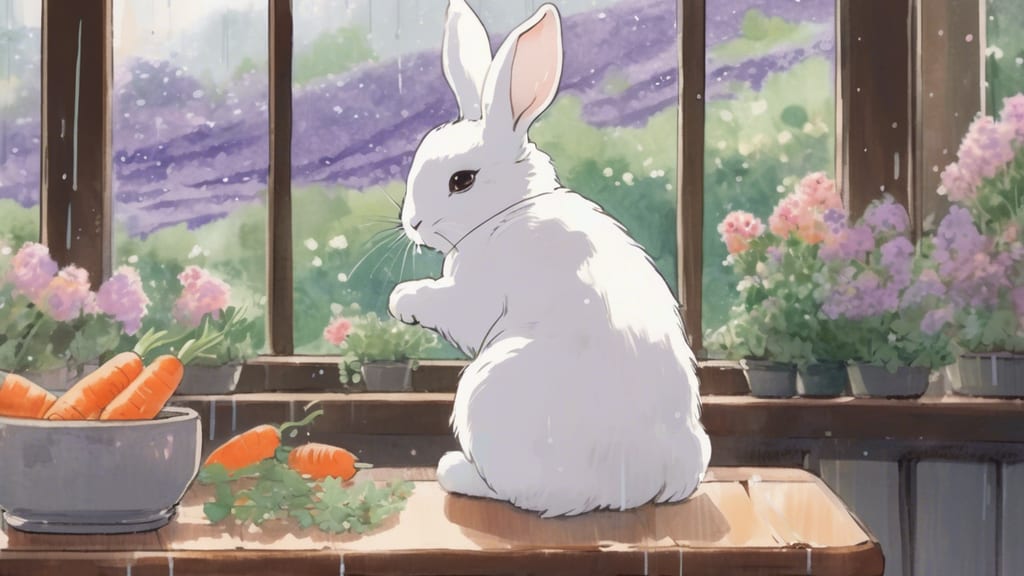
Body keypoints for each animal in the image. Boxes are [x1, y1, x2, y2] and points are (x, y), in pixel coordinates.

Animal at [388, 0, 711, 518]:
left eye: (462, 181)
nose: (413, 223)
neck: (507, 213)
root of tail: (633, 488)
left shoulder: (478, 298)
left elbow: (453, 308)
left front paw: (404, 300)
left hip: (488, 389)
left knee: (523, 493)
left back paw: (455, 471)